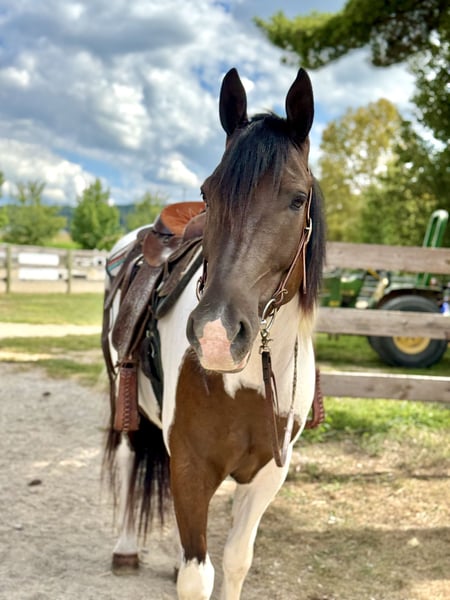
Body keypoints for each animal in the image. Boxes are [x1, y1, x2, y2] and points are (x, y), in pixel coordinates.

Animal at [102, 67, 326, 600]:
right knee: (126, 464)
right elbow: (196, 576)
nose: (217, 336)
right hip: (124, 407)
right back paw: (125, 548)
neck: (249, 381)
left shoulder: (268, 474)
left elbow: (236, 560)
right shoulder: (190, 466)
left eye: (298, 198)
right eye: (208, 193)